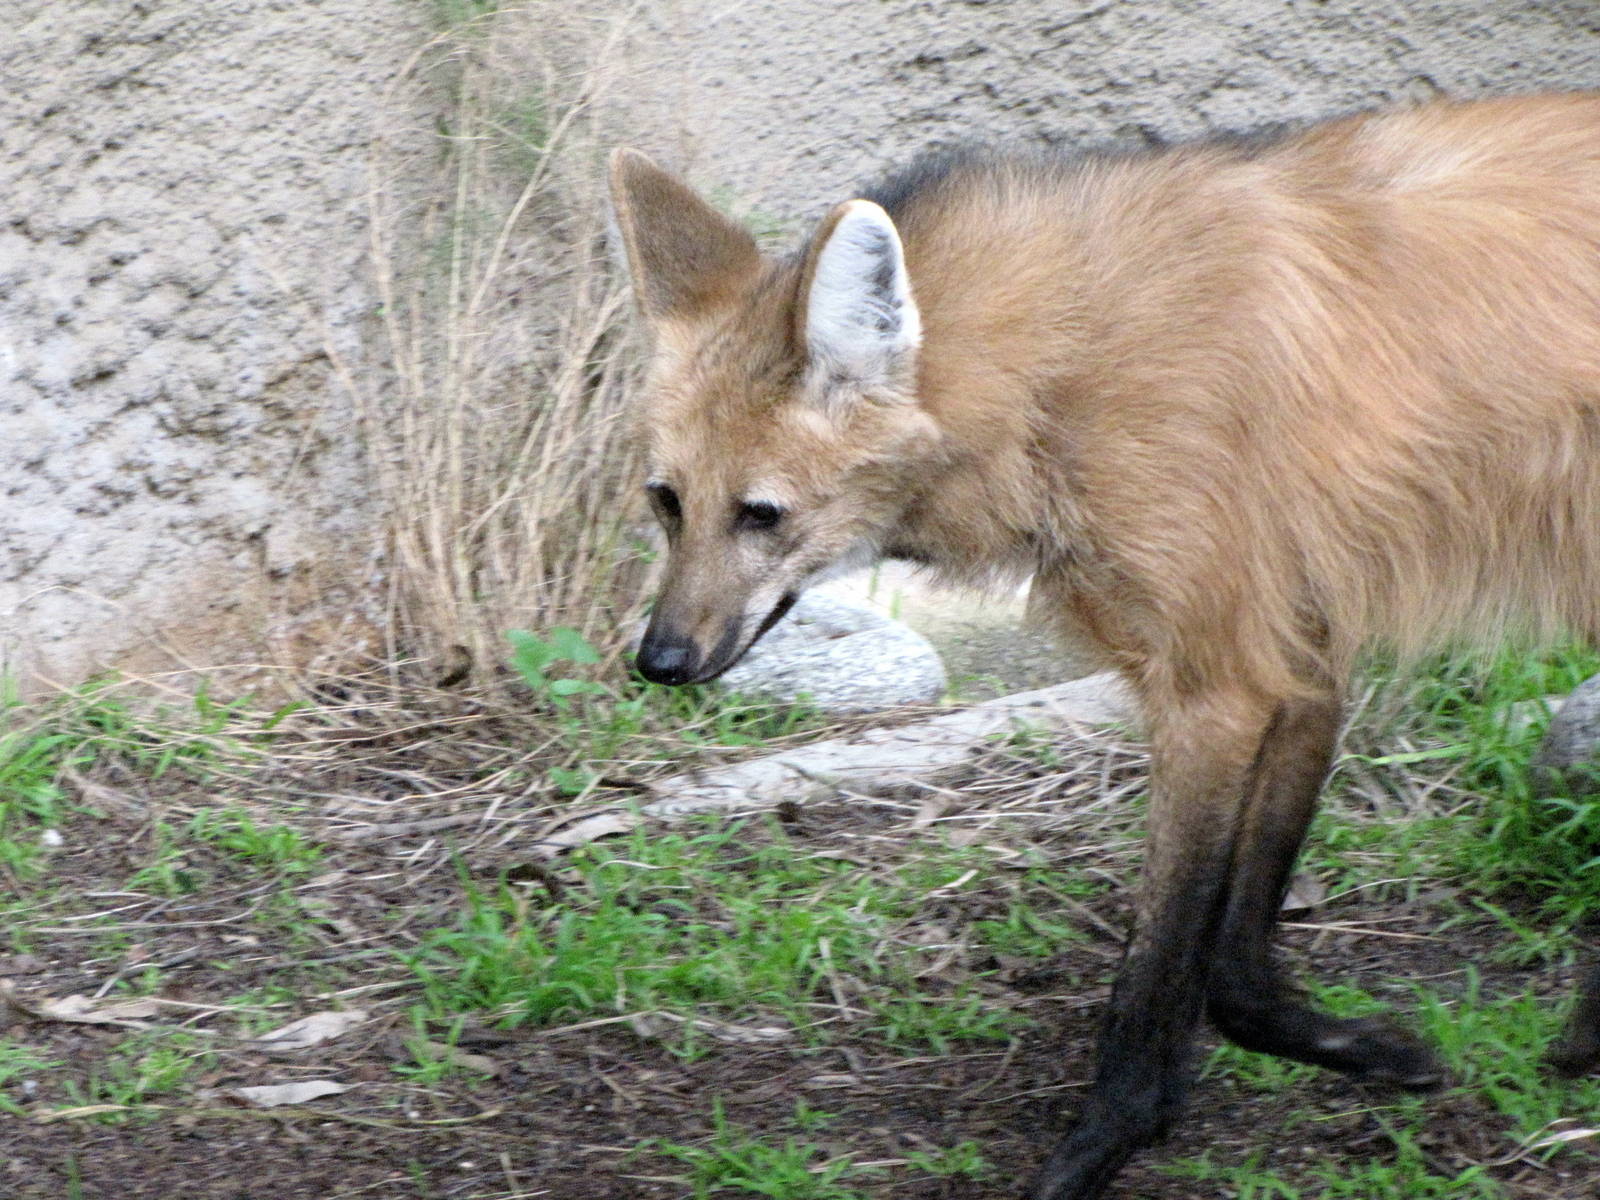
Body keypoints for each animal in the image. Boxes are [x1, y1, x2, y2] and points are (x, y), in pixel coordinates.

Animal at [607, 93, 1600, 1199]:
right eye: (667, 502)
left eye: (761, 514)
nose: (660, 662)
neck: (1055, 369)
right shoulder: (1293, 663)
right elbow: (1233, 961)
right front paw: (1361, 1047)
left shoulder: (1215, 690)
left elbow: (1159, 959)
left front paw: (1099, 1145)